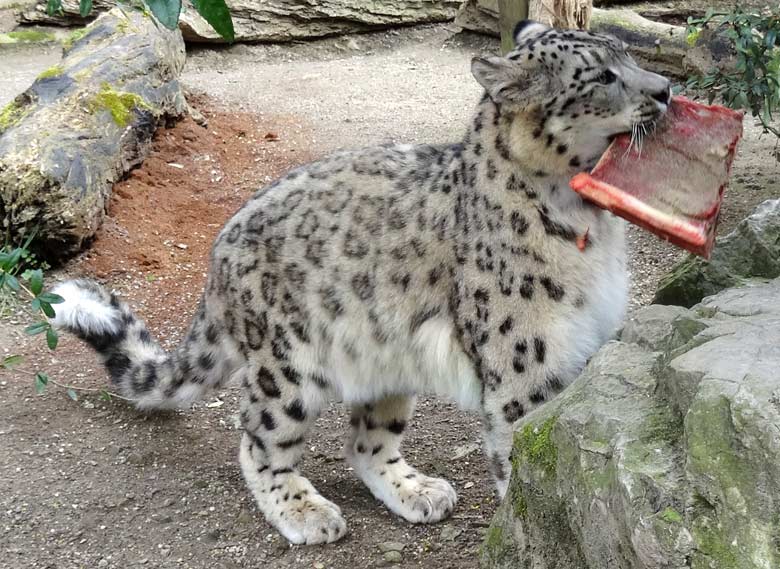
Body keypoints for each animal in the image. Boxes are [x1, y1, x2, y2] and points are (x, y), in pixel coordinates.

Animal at [51, 21, 672, 544]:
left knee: (366, 441)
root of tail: (220, 248)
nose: (666, 88)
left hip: (386, 358)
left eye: (627, 55)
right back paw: (306, 512)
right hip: (286, 368)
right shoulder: (529, 365)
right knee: (258, 440)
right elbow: (525, 462)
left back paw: (417, 491)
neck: (588, 225)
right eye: (603, 76)